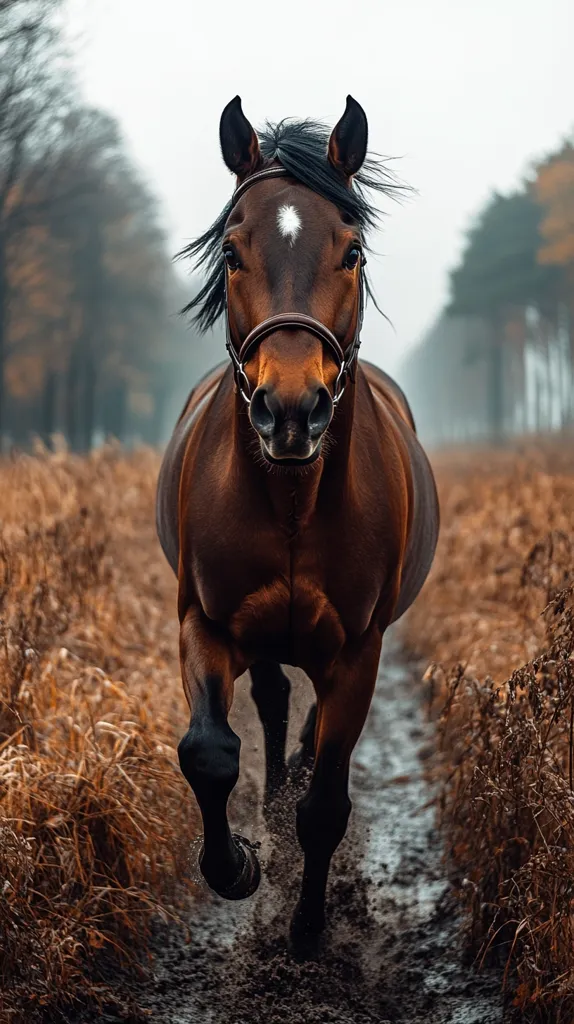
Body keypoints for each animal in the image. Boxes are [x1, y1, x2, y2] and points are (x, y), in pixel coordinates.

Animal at [156, 95, 439, 953]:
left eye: (352, 252)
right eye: (232, 249)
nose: (289, 410)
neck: (292, 500)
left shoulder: (359, 651)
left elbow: (328, 808)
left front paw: (309, 930)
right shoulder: (204, 620)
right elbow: (210, 752)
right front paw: (237, 866)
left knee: (306, 729)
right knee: (276, 701)